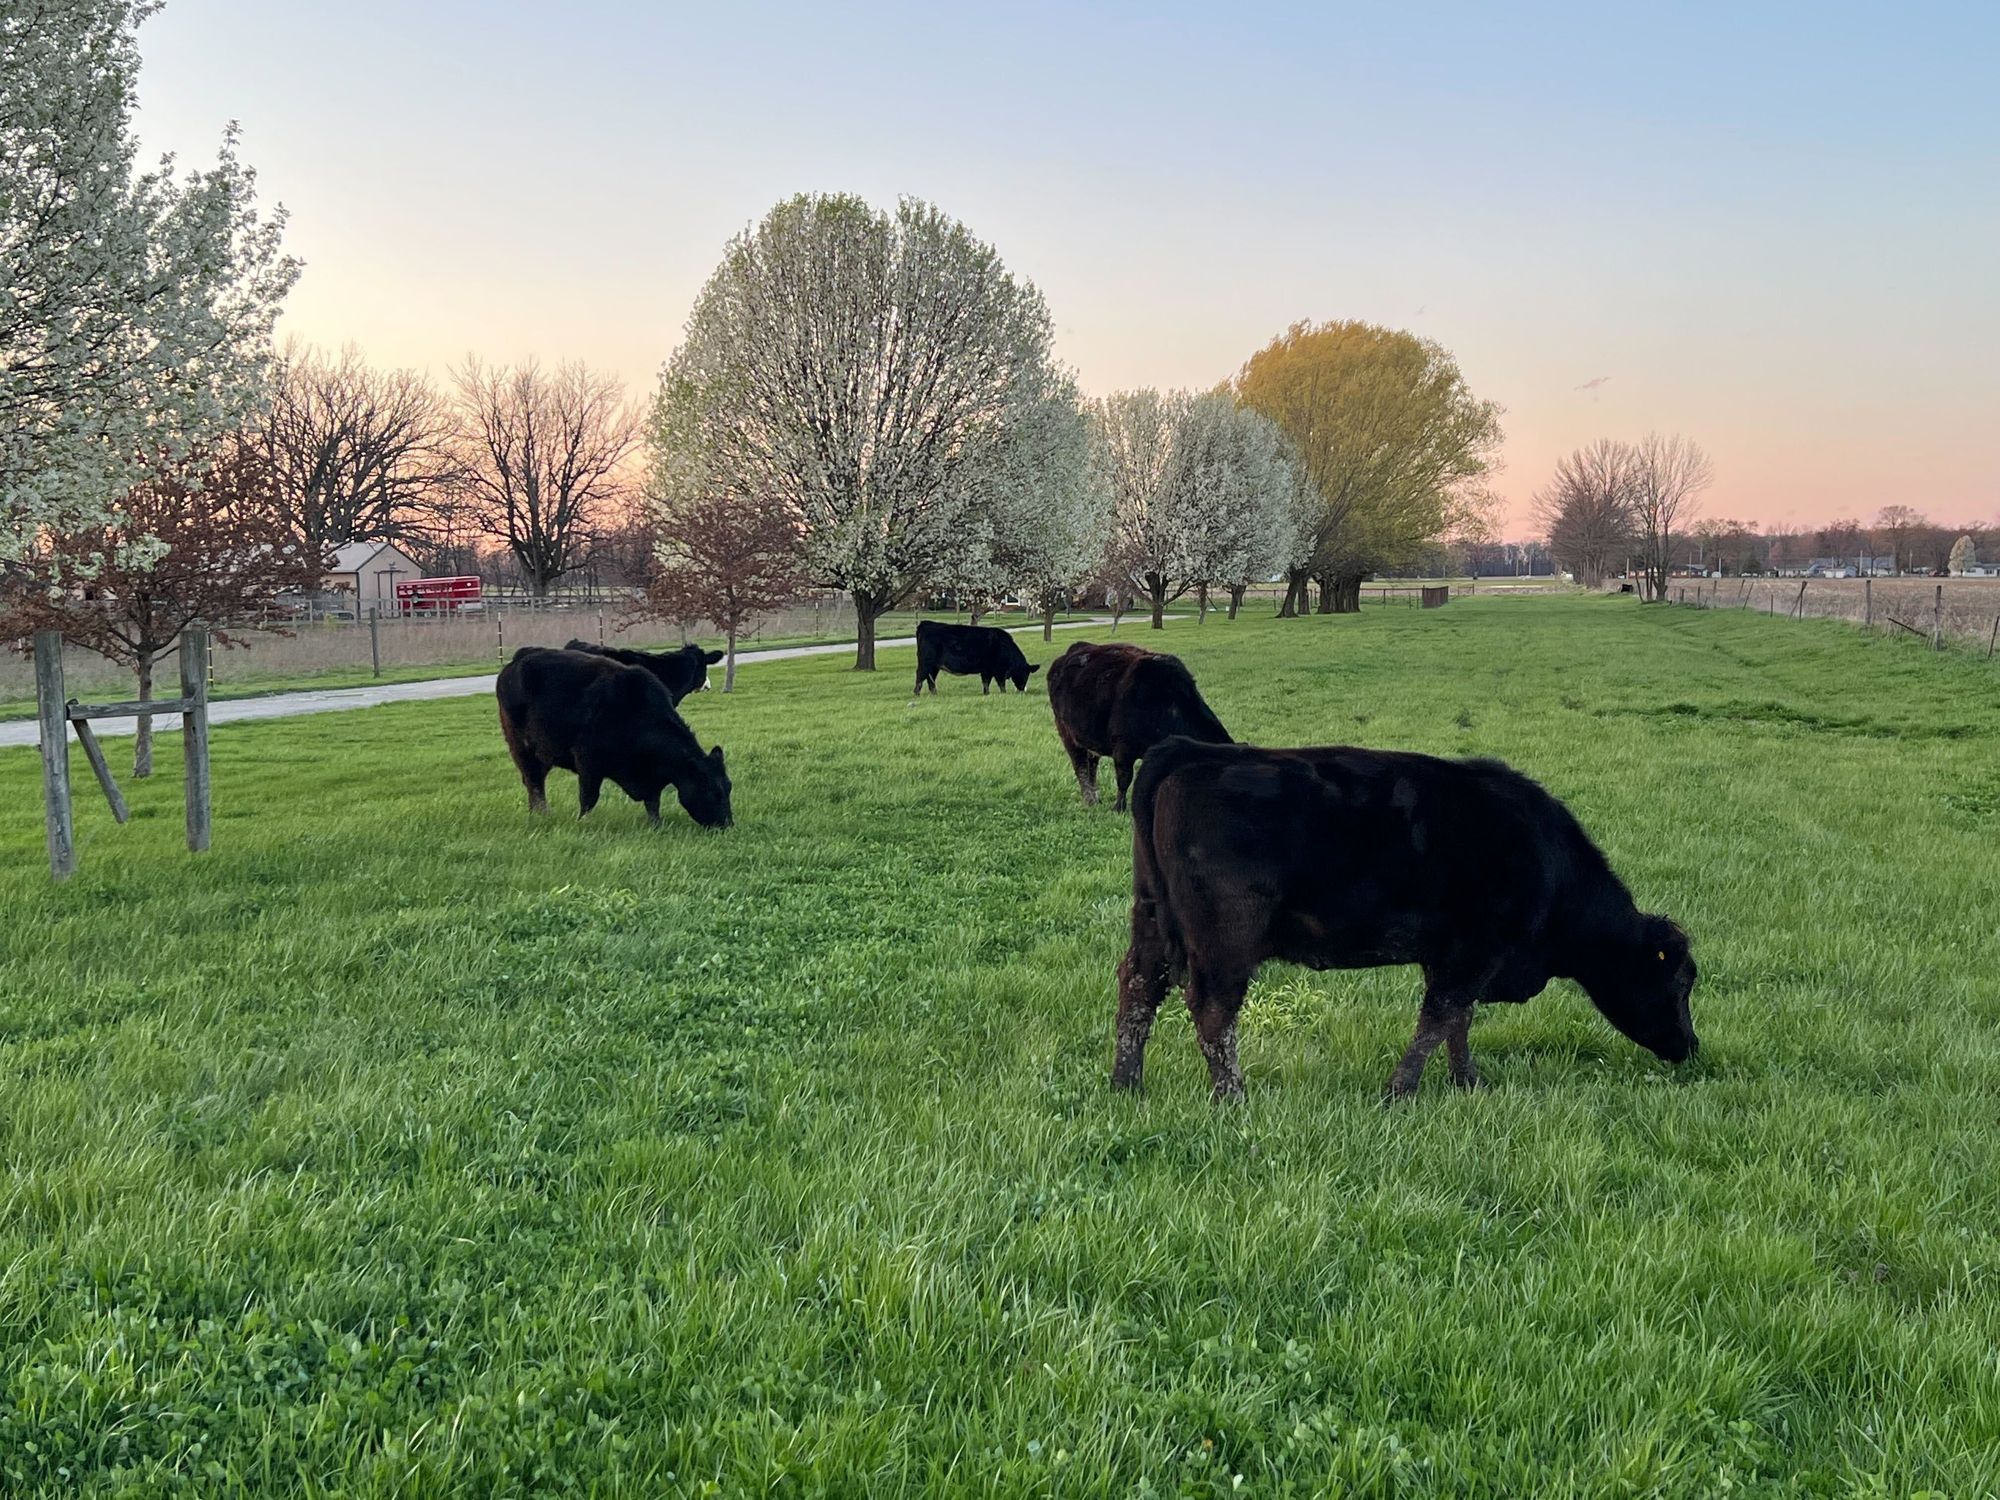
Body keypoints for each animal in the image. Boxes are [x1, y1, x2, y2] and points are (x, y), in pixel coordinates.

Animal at [497, 647, 732, 828]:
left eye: (729, 787)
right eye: (714, 791)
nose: (728, 825)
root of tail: (518, 659)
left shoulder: (651, 775)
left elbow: (653, 802)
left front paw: (656, 825)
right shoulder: (588, 763)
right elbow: (588, 799)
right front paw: (582, 823)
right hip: (522, 747)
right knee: (534, 781)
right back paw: (541, 814)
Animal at [1046, 640, 1231, 810]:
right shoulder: (1122, 747)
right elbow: (1124, 779)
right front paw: (1119, 808)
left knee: (1091, 766)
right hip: (1066, 732)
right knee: (1081, 766)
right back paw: (1090, 800)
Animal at [1114, 737, 1697, 1102]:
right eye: (1679, 980)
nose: (1691, 1048)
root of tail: (1188, 751)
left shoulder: (1452, 955)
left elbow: (1458, 1019)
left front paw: (1467, 1083)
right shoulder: (1476, 950)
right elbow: (1439, 1018)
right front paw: (1400, 1092)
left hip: (1150, 918)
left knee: (1137, 987)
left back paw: (1127, 1084)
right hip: (1225, 939)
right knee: (1213, 1010)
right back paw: (1233, 1098)